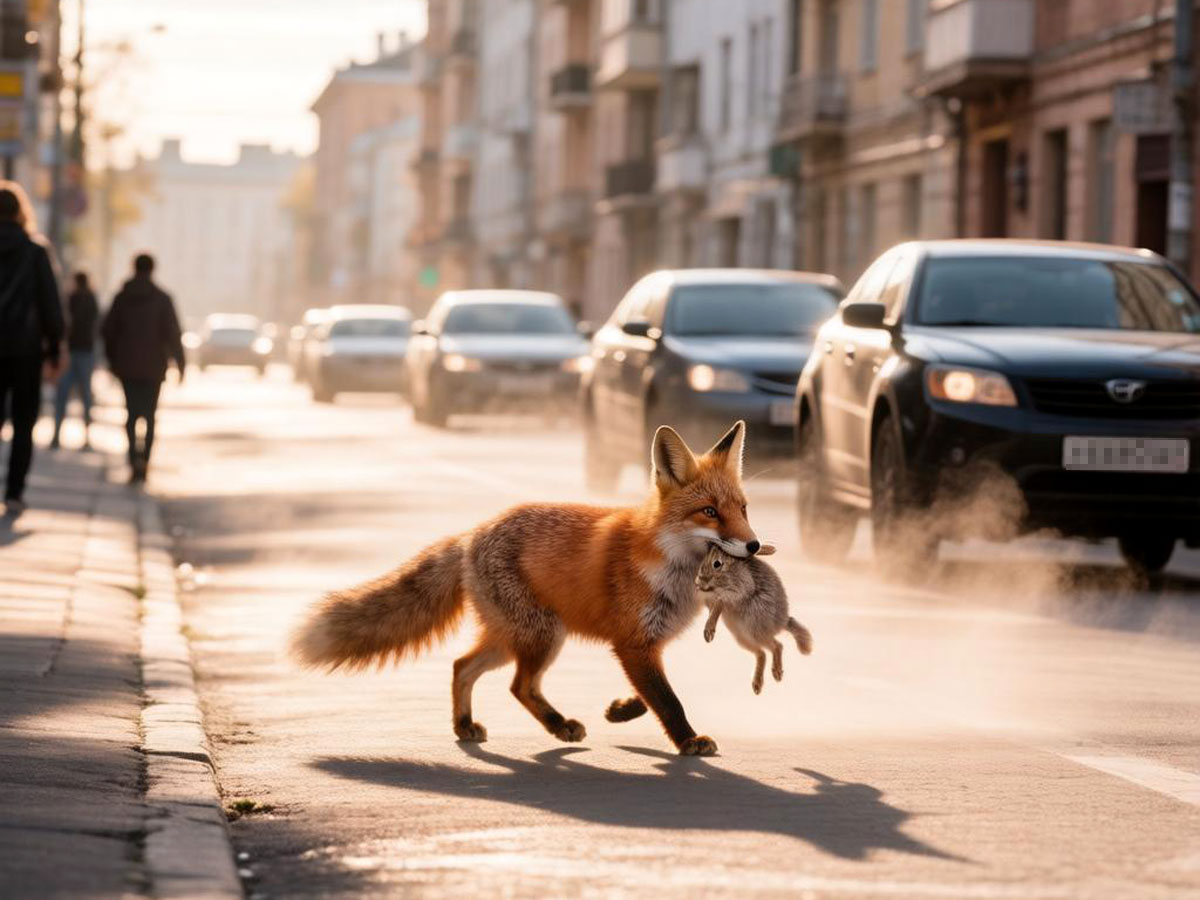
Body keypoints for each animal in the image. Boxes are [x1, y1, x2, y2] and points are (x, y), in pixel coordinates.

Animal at [289, 420, 760, 756]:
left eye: (743, 509)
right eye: (709, 512)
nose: (754, 545)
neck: (666, 561)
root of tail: (472, 534)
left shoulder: (644, 644)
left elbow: (652, 694)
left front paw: (621, 710)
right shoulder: (631, 642)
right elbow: (668, 699)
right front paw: (687, 741)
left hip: (512, 636)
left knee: (462, 666)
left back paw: (465, 725)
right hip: (543, 635)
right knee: (519, 686)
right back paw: (558, 725)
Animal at [695, 543, 813, 694]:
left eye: (717, 564)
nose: (698, 581)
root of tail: (782, 623)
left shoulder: (738, 590)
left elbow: (720, 602)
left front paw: (709, 631)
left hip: (755, 629)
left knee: (777, 646)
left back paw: (776, 673)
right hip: (741, 637)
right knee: (761, 653)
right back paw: (757, 684)